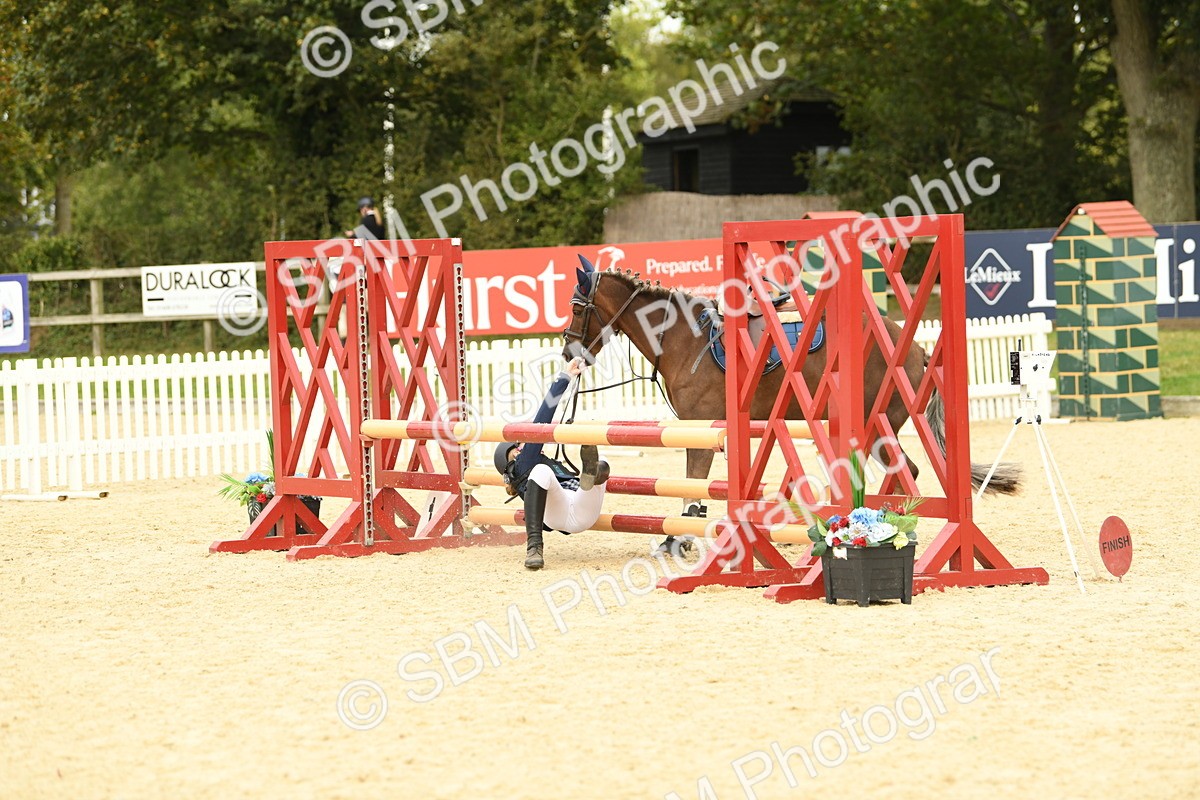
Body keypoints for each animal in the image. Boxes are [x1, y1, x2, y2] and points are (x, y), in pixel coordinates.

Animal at [561, 256, 1019, 555]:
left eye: (577, 308)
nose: (568, 352)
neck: (682, 338)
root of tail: (918, 350)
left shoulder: (702, 428)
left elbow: (693, 485)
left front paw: (679, 539)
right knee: (906, 470)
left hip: (878, 423)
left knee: (906, 471)